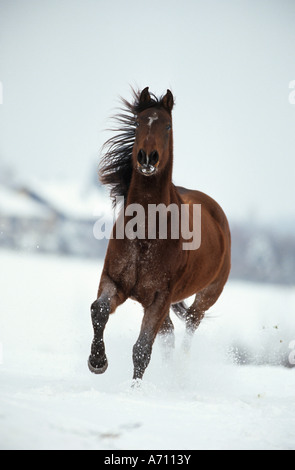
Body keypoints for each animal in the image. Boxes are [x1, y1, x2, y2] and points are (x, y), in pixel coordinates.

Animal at [88, 87, 231, 382]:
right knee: (171, 334)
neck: (145, 233)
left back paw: (180, 374)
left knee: (190, 327)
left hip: (207, 295)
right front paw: (97, 361)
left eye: (167, 125)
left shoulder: (160, 298)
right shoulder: (114, 281)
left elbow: (142, 350)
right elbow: (99, 310)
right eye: (139, 121)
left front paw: (134, 389)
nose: (147, 158)